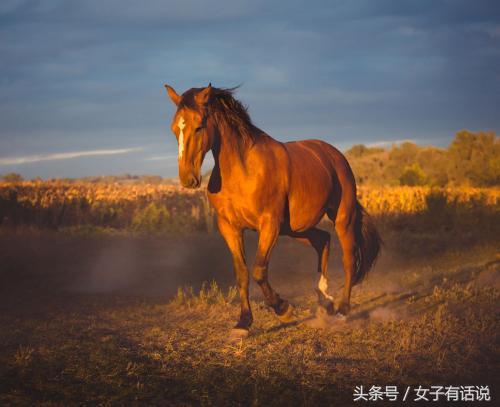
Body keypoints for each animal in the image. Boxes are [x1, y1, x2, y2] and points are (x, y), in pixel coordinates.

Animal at [166, 83, 380, 338]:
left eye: (198, 126)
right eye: (174, 128)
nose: (188, 179)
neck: (243, 170)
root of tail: (335, 156)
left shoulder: (269, 224)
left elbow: (259, 270)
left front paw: (283, 309)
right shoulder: (229, 227)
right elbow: (242, 273)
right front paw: (243, 323)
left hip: (341, 219)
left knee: (349, 259)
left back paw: (342, 310)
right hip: (296, 229)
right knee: (323, 240)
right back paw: (324, 299)